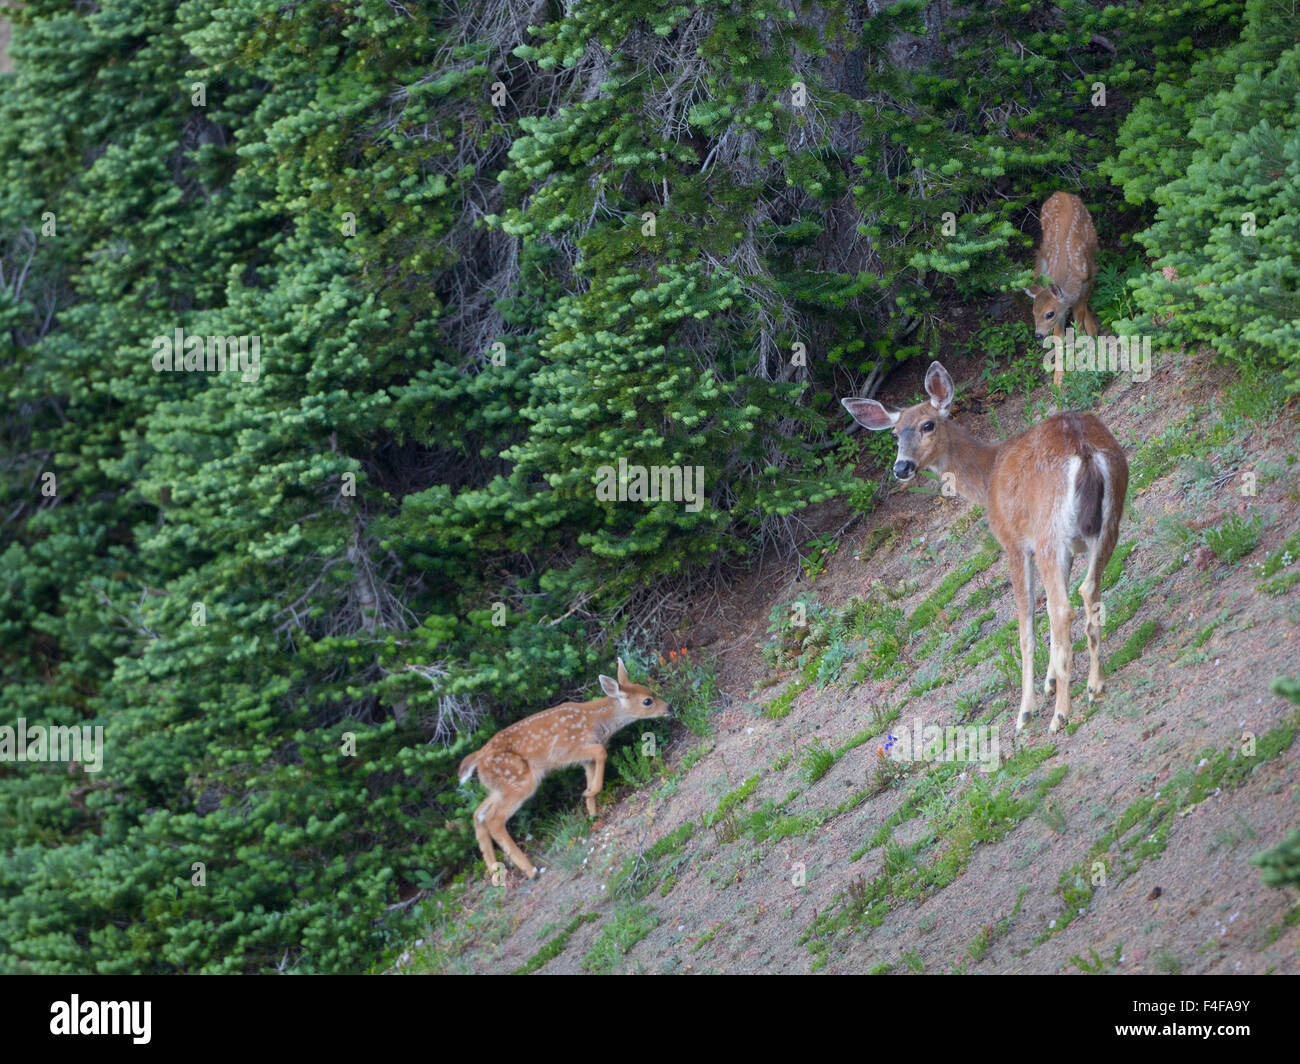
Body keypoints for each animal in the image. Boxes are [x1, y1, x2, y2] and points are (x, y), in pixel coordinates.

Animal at [457, 658, 670, 874]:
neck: (595, 721)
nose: (669, 707)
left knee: (478, 814)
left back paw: (496, 871)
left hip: (500, 787)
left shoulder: (586, 759)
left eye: (650, 691)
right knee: (494, 819)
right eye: (647, 701)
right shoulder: (564, 751)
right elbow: (601, 752)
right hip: (519, 781)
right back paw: (531, 871)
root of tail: (479, 758)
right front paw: (591, 794)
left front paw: (592, 808)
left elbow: (593, 771)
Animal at [842, 361, 1128, 733]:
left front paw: (1026, 710)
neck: (988, 474)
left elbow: (1026, 626)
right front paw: (1051, 682)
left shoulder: (1014, 543)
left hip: (1050, 533)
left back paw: (1059, 716)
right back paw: (1095, 686)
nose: (901, 467)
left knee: (1062, 608)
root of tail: (1084, 450)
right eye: (895, 434)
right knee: (1089, 590)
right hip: (1111, 518)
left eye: (927, 424)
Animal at [1024, 192, 1097, 387]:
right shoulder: (1062, 309)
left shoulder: (1086, 281)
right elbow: (1058, 336)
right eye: (1033, 313)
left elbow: (1078, 319)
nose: (1038, 335)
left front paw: (1082, 349)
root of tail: (1060, 193)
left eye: (1049, 313)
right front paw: (1059, 379)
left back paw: (1092, 328)